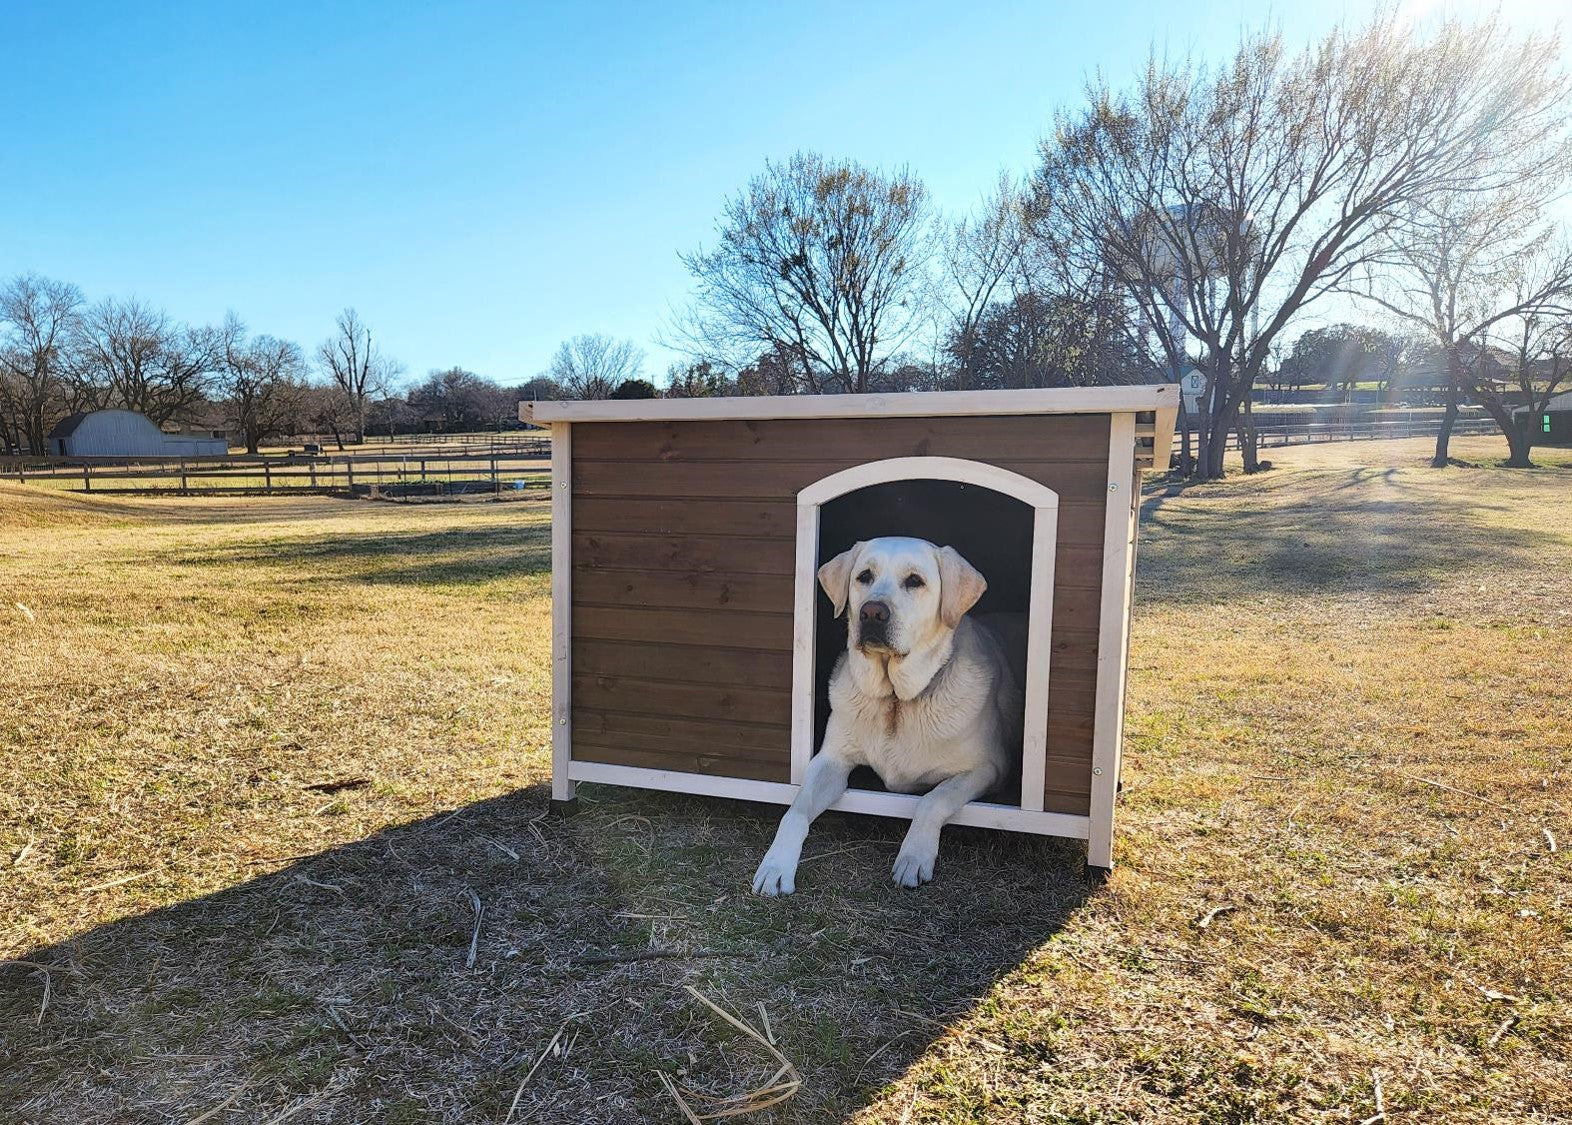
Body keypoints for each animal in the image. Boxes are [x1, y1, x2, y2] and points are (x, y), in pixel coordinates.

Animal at [754, 537, 1024, 898]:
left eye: (915, 581)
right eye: (864, 576)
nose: (872, 612)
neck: (896, 700)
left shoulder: (989, 768)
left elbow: (933, 799)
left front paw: (913, 856)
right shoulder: (829, 760)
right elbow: (795, 811)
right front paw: (775, 865)